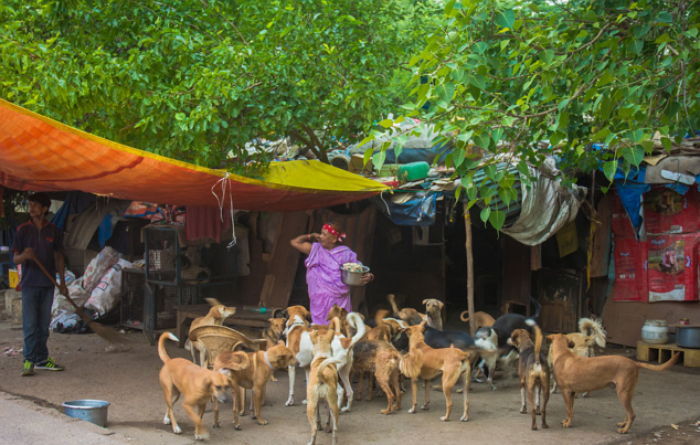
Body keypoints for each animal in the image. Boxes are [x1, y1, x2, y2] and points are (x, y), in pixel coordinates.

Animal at [548, 332, 680, 434]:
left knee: (632, 414)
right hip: (627, 392)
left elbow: (568, 410)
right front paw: (567, 421)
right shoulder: (572, 393)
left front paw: (568, 423)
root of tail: (634, 363)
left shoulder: (566, 392)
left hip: (622, 393)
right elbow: (570, 409)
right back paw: (623, 424)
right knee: (628, 413)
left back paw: (625, 430)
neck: (563, 354)